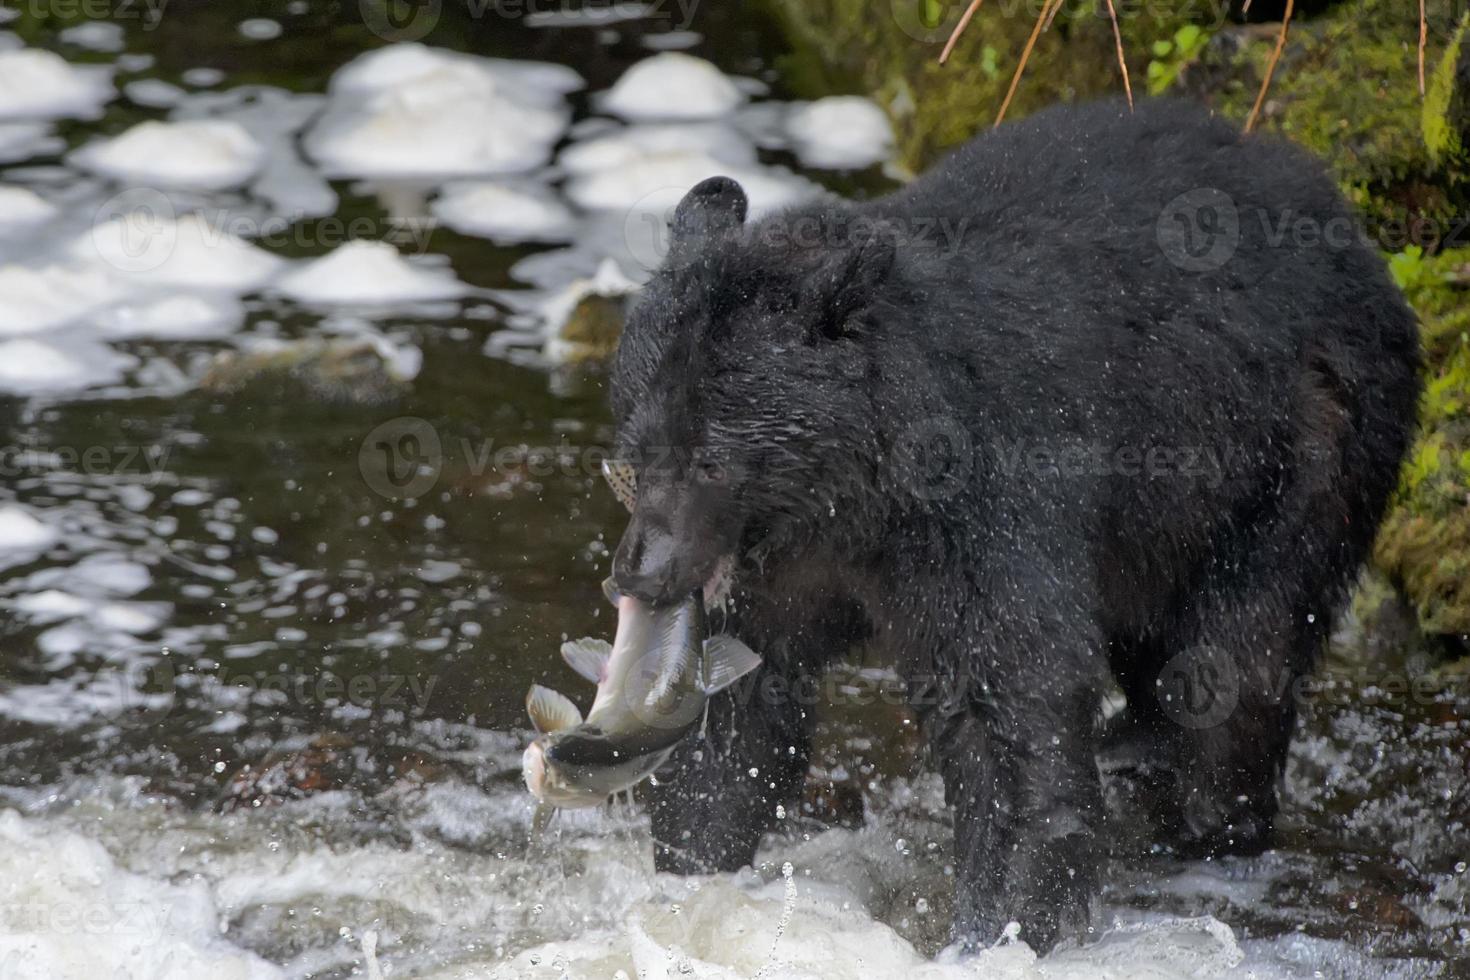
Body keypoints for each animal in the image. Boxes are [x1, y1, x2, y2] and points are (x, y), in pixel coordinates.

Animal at [602, 99, 1417, 952]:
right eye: (630, 458)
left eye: (710, 462)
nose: (642, 572)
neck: (852, 493)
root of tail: (1338, 212)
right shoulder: (777, 566)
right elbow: (740, 709)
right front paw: (693, 873)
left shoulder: (984, 507)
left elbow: (1011, 707)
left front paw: (1000, 926)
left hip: (1300, 454)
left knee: (1233, 662)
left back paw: (1208, 814)